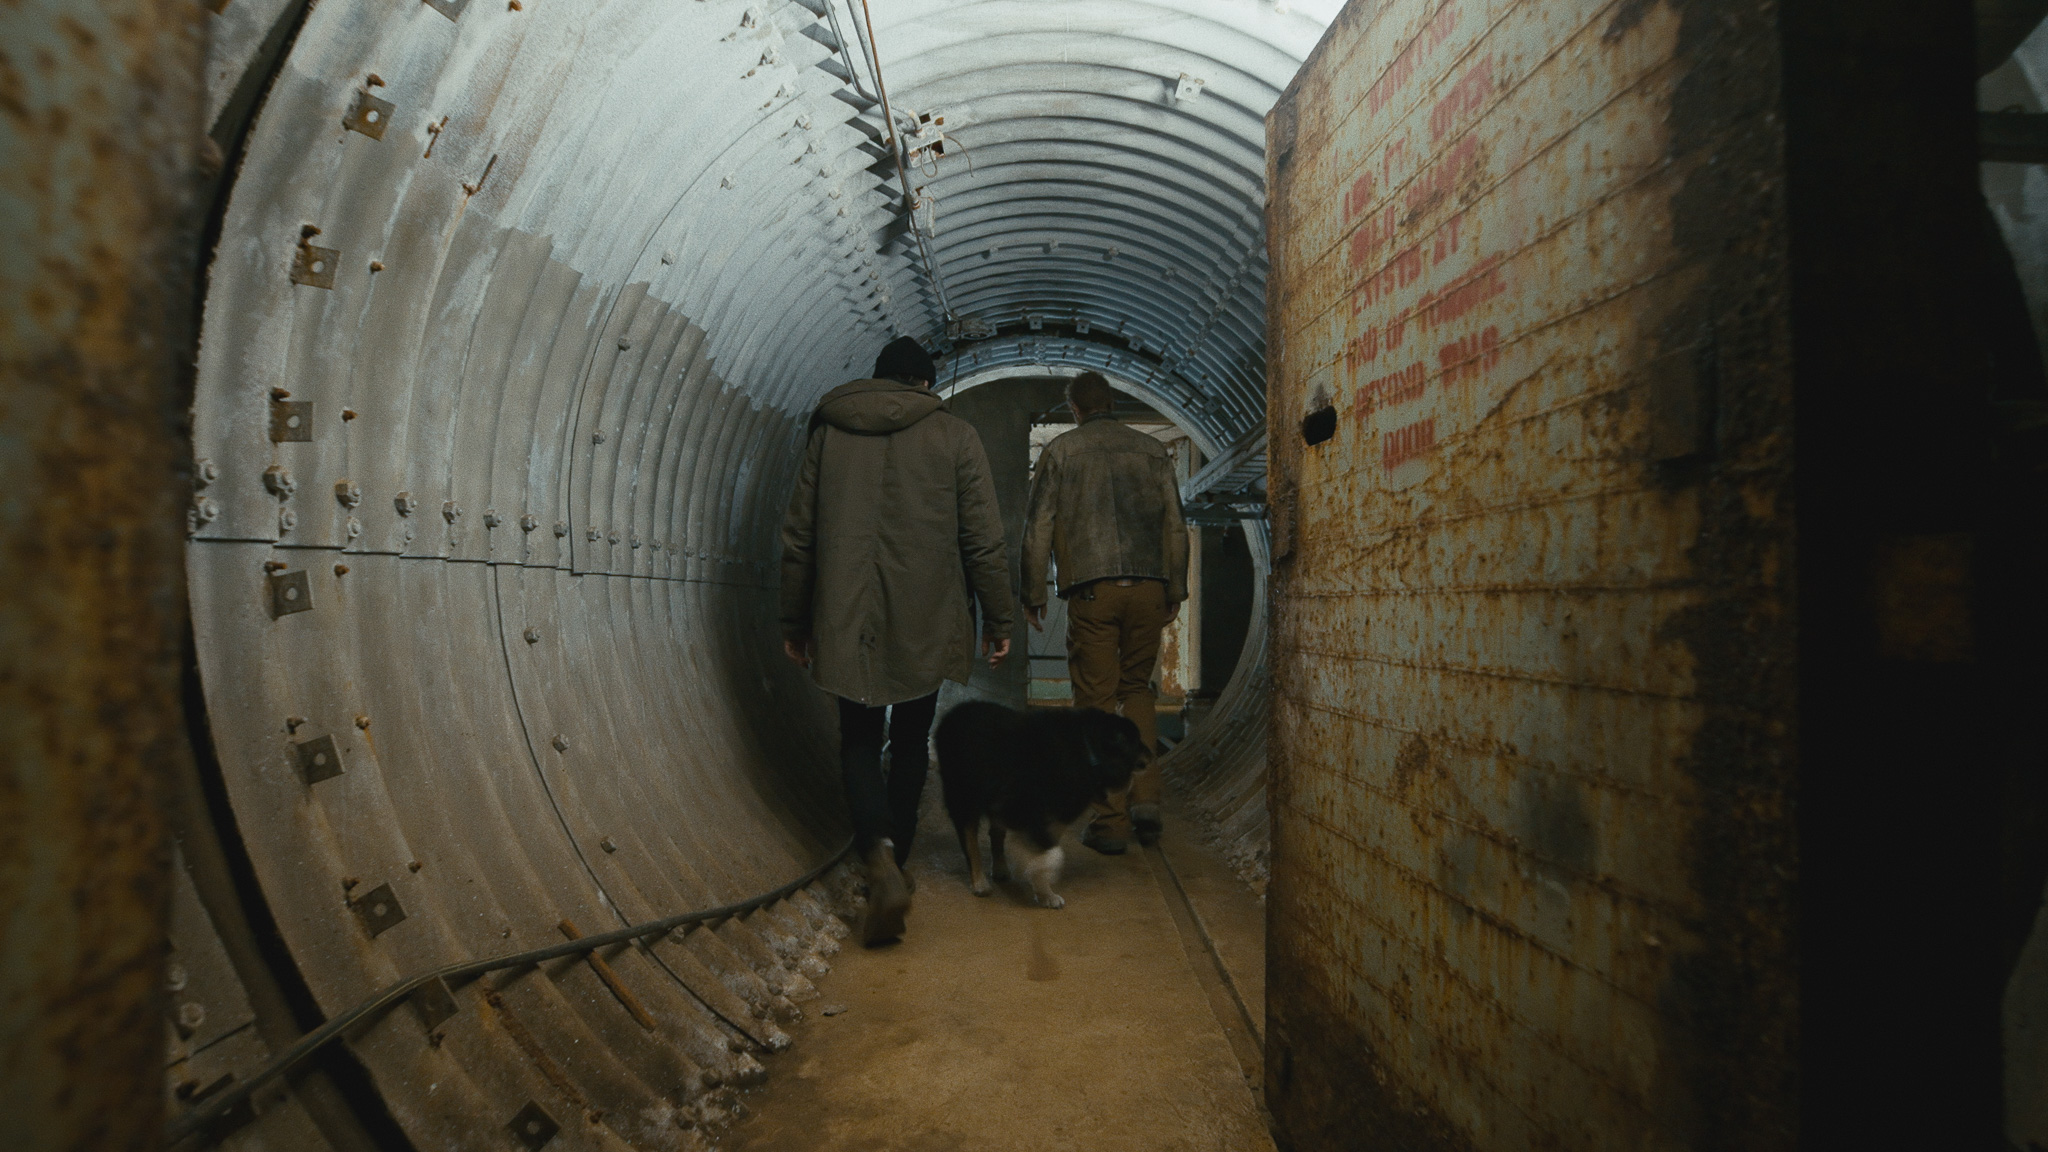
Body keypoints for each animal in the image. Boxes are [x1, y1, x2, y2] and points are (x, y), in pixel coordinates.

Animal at [933, 701, 1150, 908]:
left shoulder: (1051, 819)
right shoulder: (1023, 813)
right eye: (1135, 741)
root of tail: (954, 712)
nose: (1152, 755)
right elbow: (1041, 857)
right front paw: (1042, 887)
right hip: (964, 800)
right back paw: (979, 882)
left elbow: (1045, 853)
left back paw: (1001, 868)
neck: (1087, 749)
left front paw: (1045, 893)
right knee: (970, 844)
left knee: (996, 835)